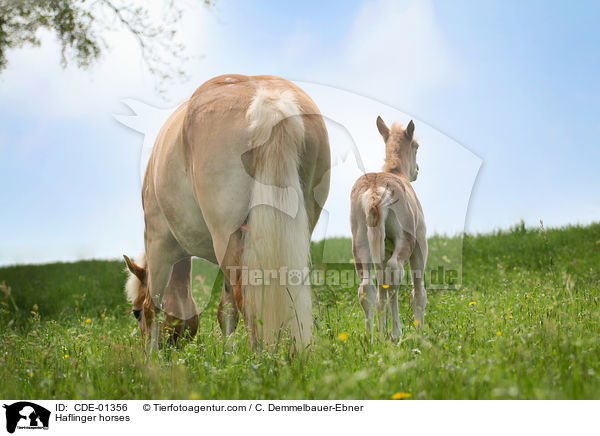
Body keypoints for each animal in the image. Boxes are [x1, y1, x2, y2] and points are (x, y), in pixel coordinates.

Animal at [121, 74, 328, 350]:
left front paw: (150, 356)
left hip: (222, 237)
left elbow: (152, 306)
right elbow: (226, 310)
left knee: (248, 301)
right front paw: (229, 356)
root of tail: (270, 100)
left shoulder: (158, 243)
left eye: (134, 313)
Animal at [350, 117, 428, 342]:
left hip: (360, 242)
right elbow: (418, 292)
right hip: (405, 240)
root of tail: (375, 192)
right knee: (394, 273)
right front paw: (419, 333)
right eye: (417, 146)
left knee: (368, 287)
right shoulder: (421, 244)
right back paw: (394, 335)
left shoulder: (382, 252)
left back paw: (371, 339)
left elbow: (381, 292)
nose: (417, 170)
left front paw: (382, 331)